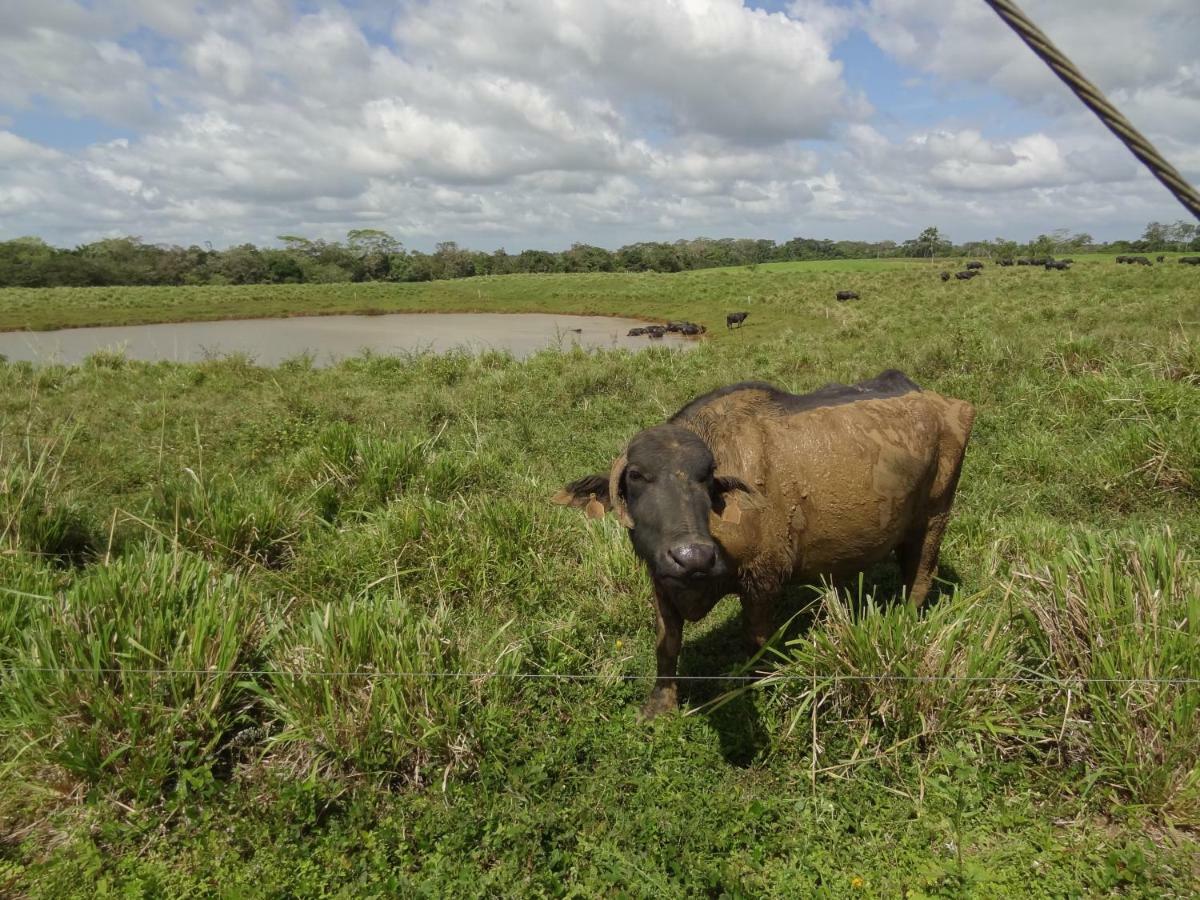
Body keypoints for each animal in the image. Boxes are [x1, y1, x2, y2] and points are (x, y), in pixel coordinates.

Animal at [552, 367, 974, 720]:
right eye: (637, 475)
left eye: (706, 478)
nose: (693, 557)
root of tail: (949, 404)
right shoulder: (661, 579)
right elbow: (666, 644)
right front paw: (659, 705)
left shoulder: (764, 579)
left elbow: (756, 639)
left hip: (936, 515)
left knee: (920, 577)